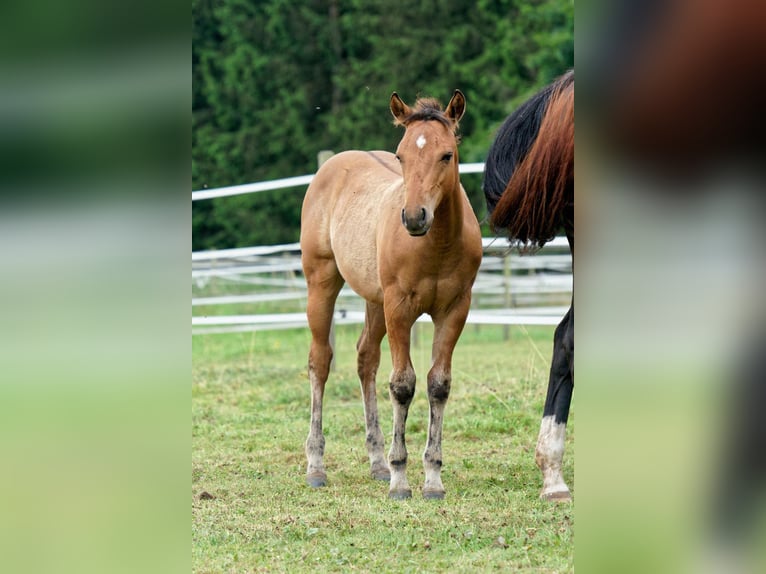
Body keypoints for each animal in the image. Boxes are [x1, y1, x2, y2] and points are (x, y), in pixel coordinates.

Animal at [300, 90, 483, 499]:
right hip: (322, 282)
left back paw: (377, 462)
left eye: (446, 154)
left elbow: (437, 384)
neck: (436, 245)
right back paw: (316, 465)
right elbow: (402, 385)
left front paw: (432, 478)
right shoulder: (400, 309)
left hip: (374, 301)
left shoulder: (454, 310)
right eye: (401, 155)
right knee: (320, 362)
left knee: (366, 359)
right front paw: (401, 479)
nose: (414, 217)